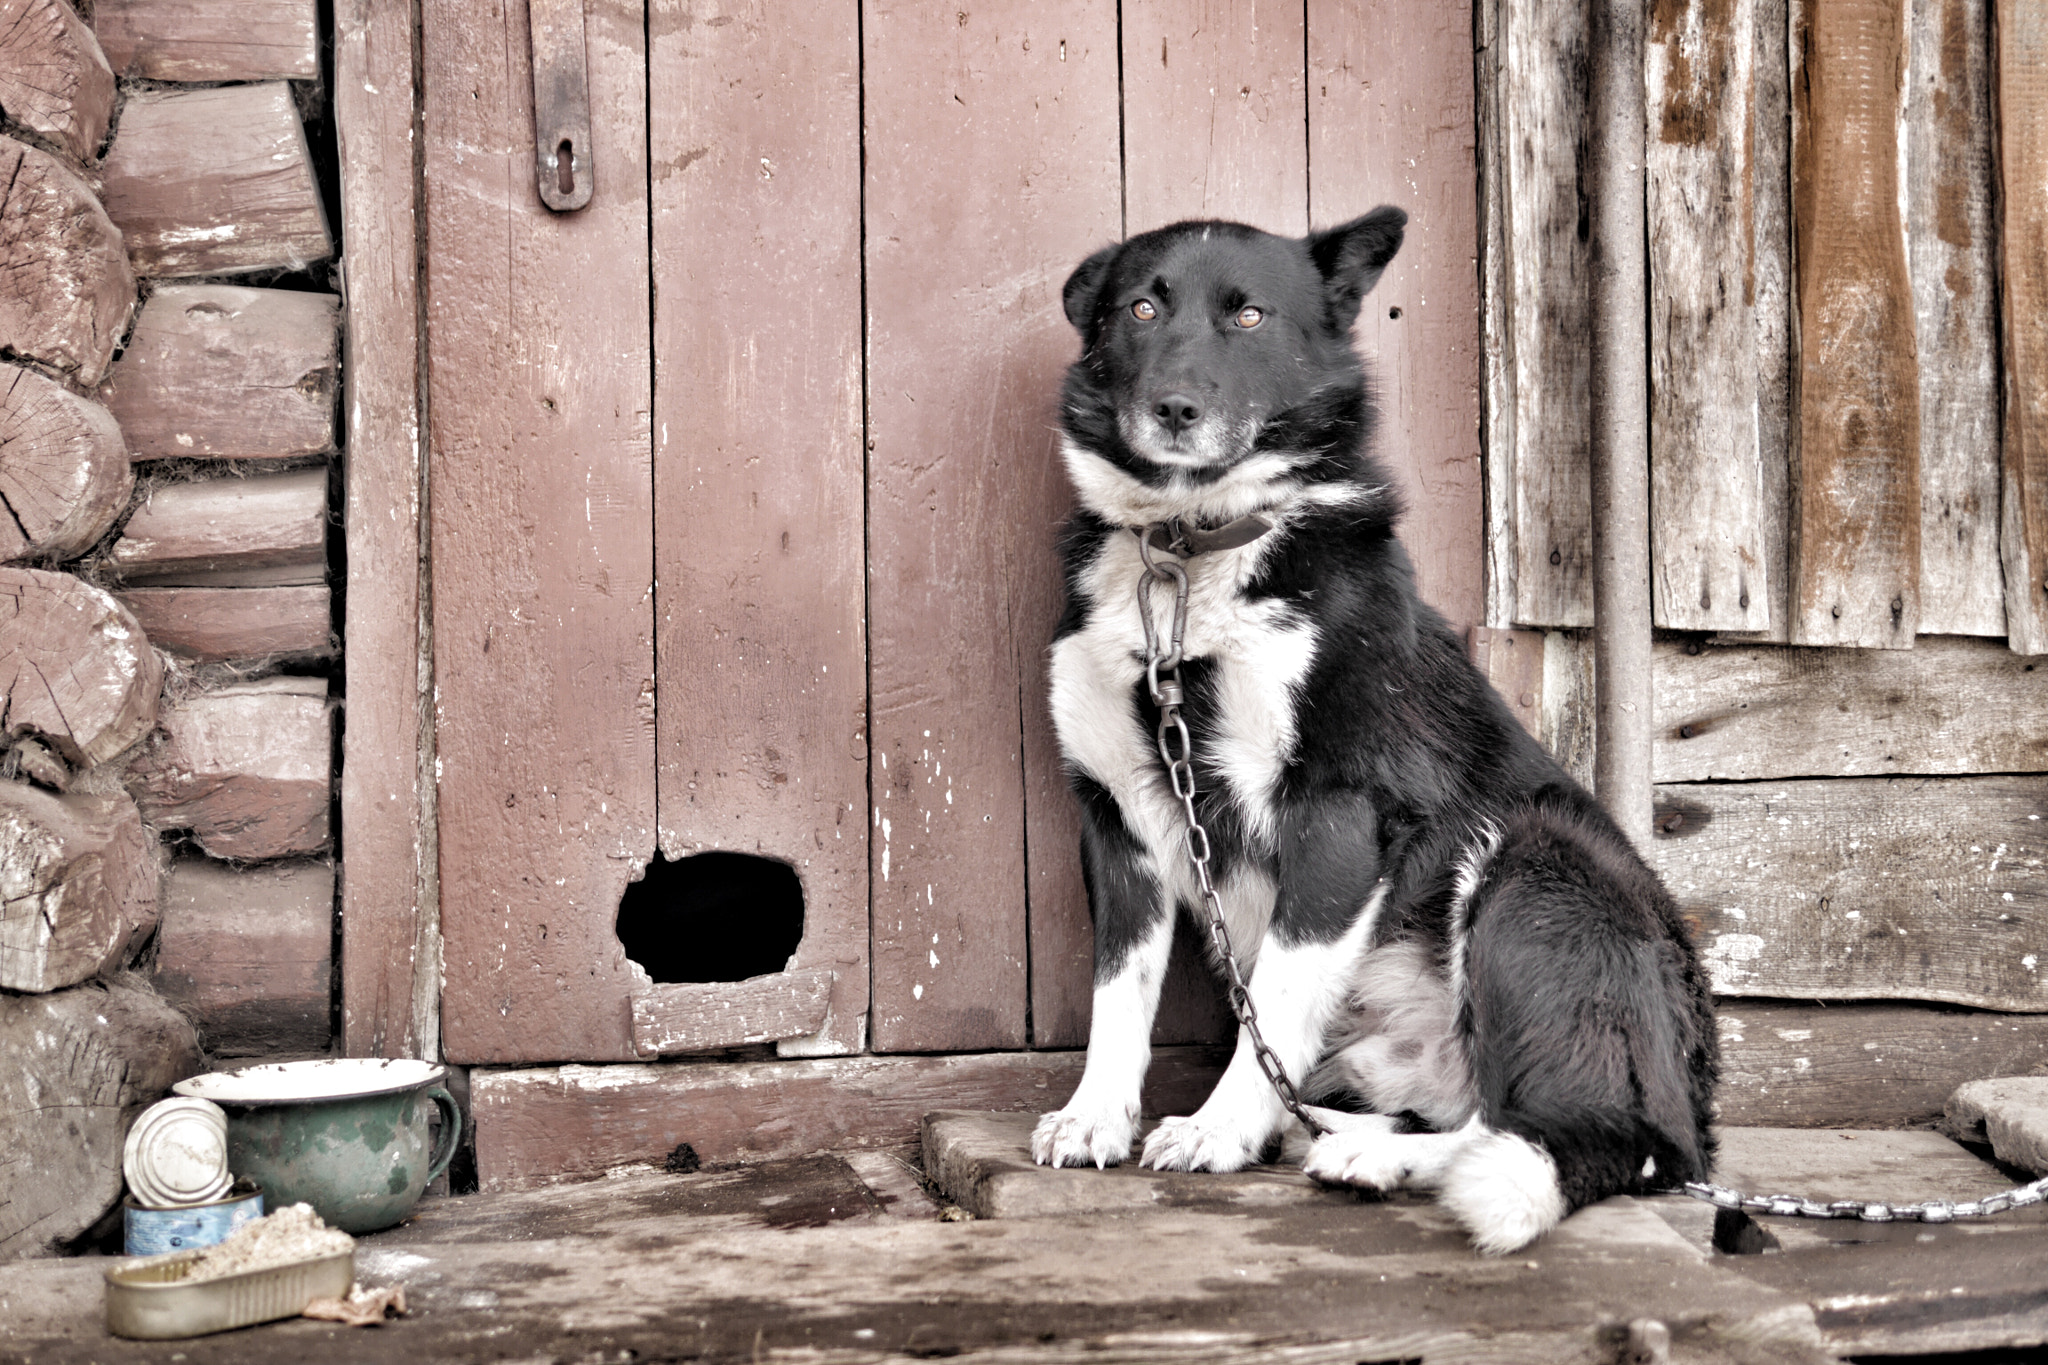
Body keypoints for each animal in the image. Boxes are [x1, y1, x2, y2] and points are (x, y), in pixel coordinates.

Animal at [1032, 208, 1720, 1252]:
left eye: (1249, 315)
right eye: (1142, 307)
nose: (1174, 408)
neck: (1188, 554)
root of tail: (1690, 1111)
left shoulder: (1339, 812)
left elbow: (1275, 997)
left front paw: (1220, 1128)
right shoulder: (1119, 822)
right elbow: (1121, 995)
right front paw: (1095, 1116)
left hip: (1533, 861)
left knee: (1562, 1125)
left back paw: (1376, 1157)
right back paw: (1340, 1131)